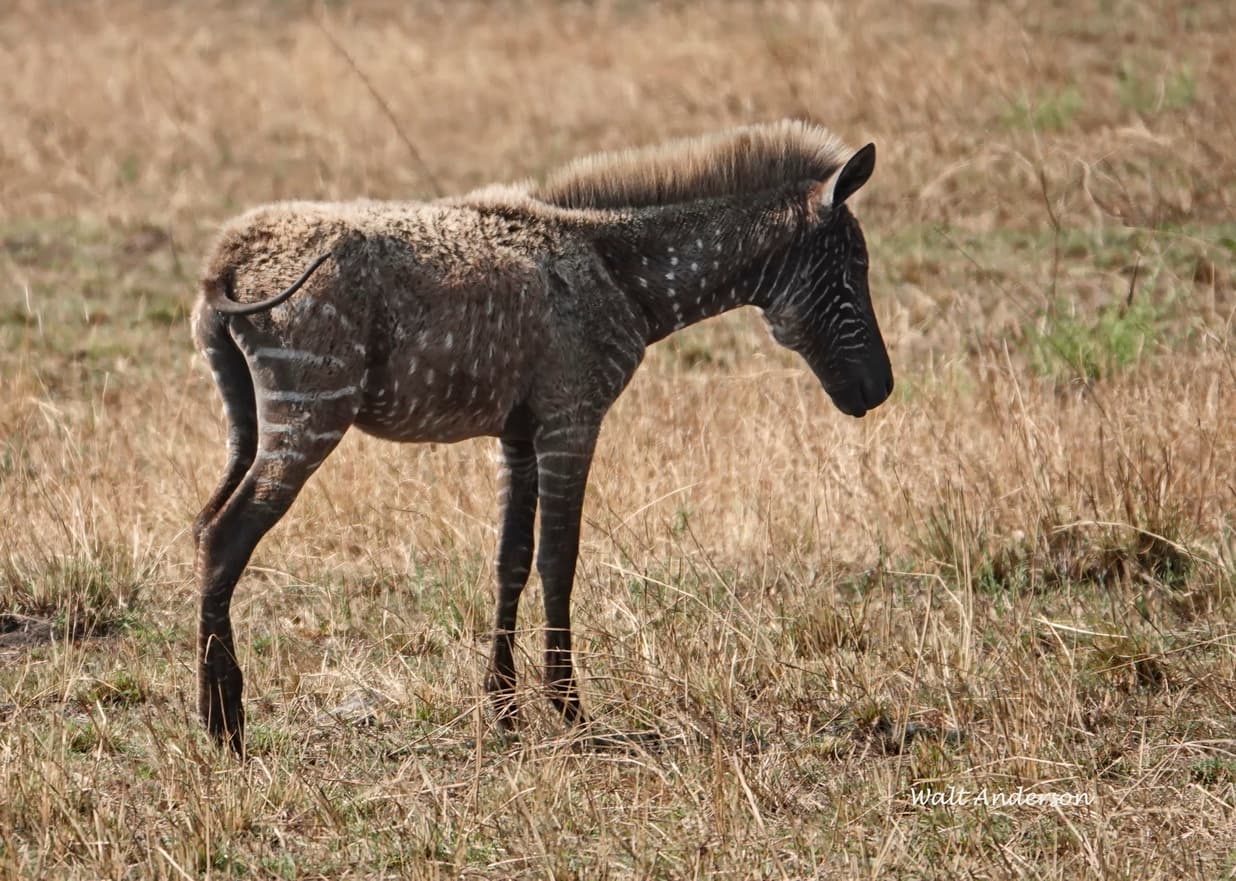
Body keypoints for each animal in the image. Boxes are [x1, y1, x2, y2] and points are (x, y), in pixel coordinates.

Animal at [191, 120, 893, 756]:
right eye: (854, 268)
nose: (881, 388)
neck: (621, 272)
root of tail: (227, 258)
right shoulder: (571, 419)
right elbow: (560, 558)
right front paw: (568, 708)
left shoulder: (518, 434)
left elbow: (511, 560)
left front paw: (503, 707)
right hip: (310, 414)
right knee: (228, 536)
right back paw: (224, 722)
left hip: (246, 422)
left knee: (203, 527)